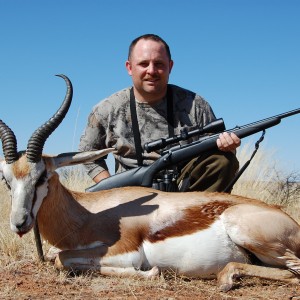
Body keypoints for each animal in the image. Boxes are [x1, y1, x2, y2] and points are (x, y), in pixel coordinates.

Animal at [0, 75, 300, 292]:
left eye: (42, 176)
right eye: (6, 179)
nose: (20, 223)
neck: (88, 214)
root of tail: (289, 220)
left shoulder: (126, 252)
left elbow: (62, 260)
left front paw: (151, 272)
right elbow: (56, 256)